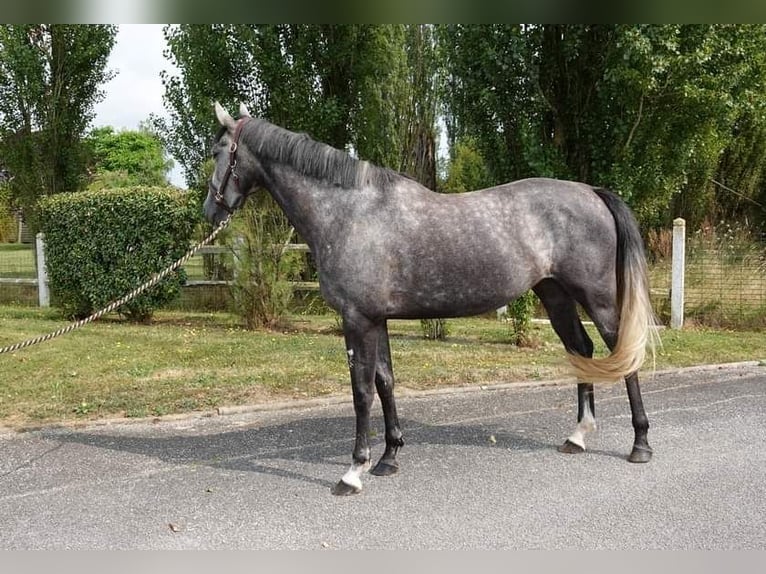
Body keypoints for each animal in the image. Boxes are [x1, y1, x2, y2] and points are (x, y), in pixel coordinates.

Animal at [207, 102, 664, 496]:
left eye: (216, 151)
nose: (209, 212)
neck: (349, 212)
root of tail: (591, 192)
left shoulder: (357, 320)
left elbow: (361, 392)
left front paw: (354, 471)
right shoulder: (377, 319)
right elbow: (386, 382)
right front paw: (389, 457)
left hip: (597, 297)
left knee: (623, 354)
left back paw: (640, 445)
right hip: (555, 296)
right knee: (581, 349)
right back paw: (577, 436)